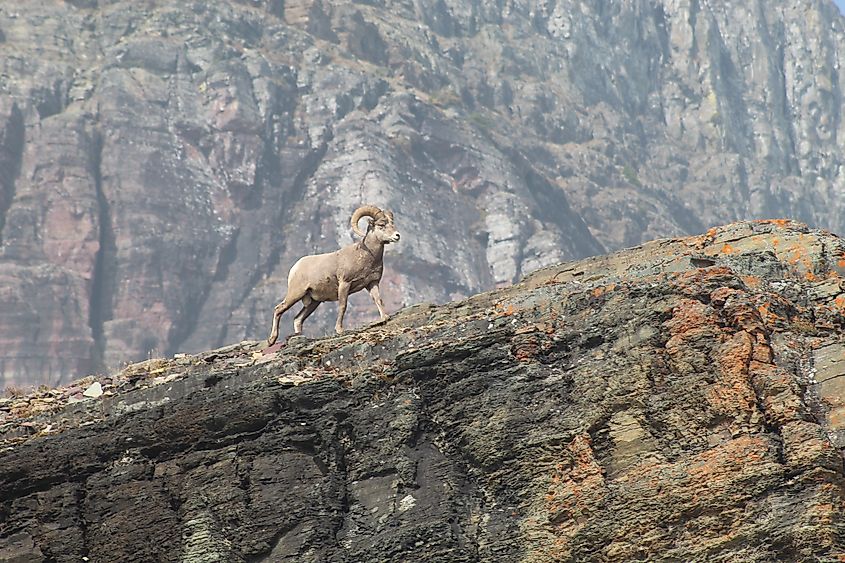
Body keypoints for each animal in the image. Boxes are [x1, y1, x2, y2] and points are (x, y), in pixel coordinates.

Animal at [266, 205, 401, 346]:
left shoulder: (372, 283)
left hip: (313, 302)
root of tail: (295, 267)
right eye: (381, 225)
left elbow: (378, 300)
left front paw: (385, 318)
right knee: (278, 309)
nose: (397, 236)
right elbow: (343, 306)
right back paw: (271, 340)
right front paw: (340, 330)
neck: (367, 256)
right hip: (295, 294)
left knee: (298, 319)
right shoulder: (344, 284)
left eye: (392, 223)